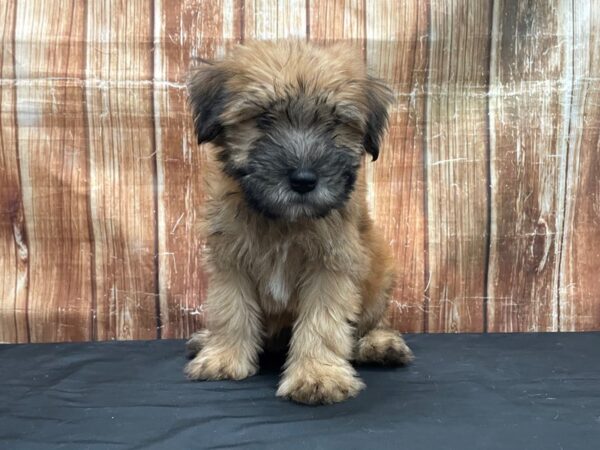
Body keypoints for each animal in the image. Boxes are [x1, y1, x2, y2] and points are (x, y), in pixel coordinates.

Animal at [185, 40, 414, 404]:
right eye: (263, 119)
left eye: (334, 123)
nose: (304, 180)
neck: (285, 221)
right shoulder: (230, 259)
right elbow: (231, 309)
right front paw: (224, 357)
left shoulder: (331, 264)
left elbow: (323, 322)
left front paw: (319, 375)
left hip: (381, 273)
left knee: (371, 321)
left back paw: (380, 344)